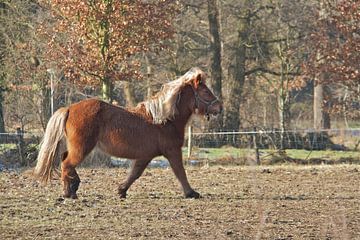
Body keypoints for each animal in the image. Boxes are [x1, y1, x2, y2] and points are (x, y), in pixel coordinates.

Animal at [35, 67, 224, 199]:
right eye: (205, 91)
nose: (219, 107)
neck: (163, 119)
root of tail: (69, 108)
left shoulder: (145, 156)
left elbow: (135, 174)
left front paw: (121, 190)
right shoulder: (172, 151)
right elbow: (180, 172)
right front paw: (191, 193)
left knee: (65, 161)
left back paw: (72, 188)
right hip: (82, 148)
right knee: (67, 163)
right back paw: (70, 192)